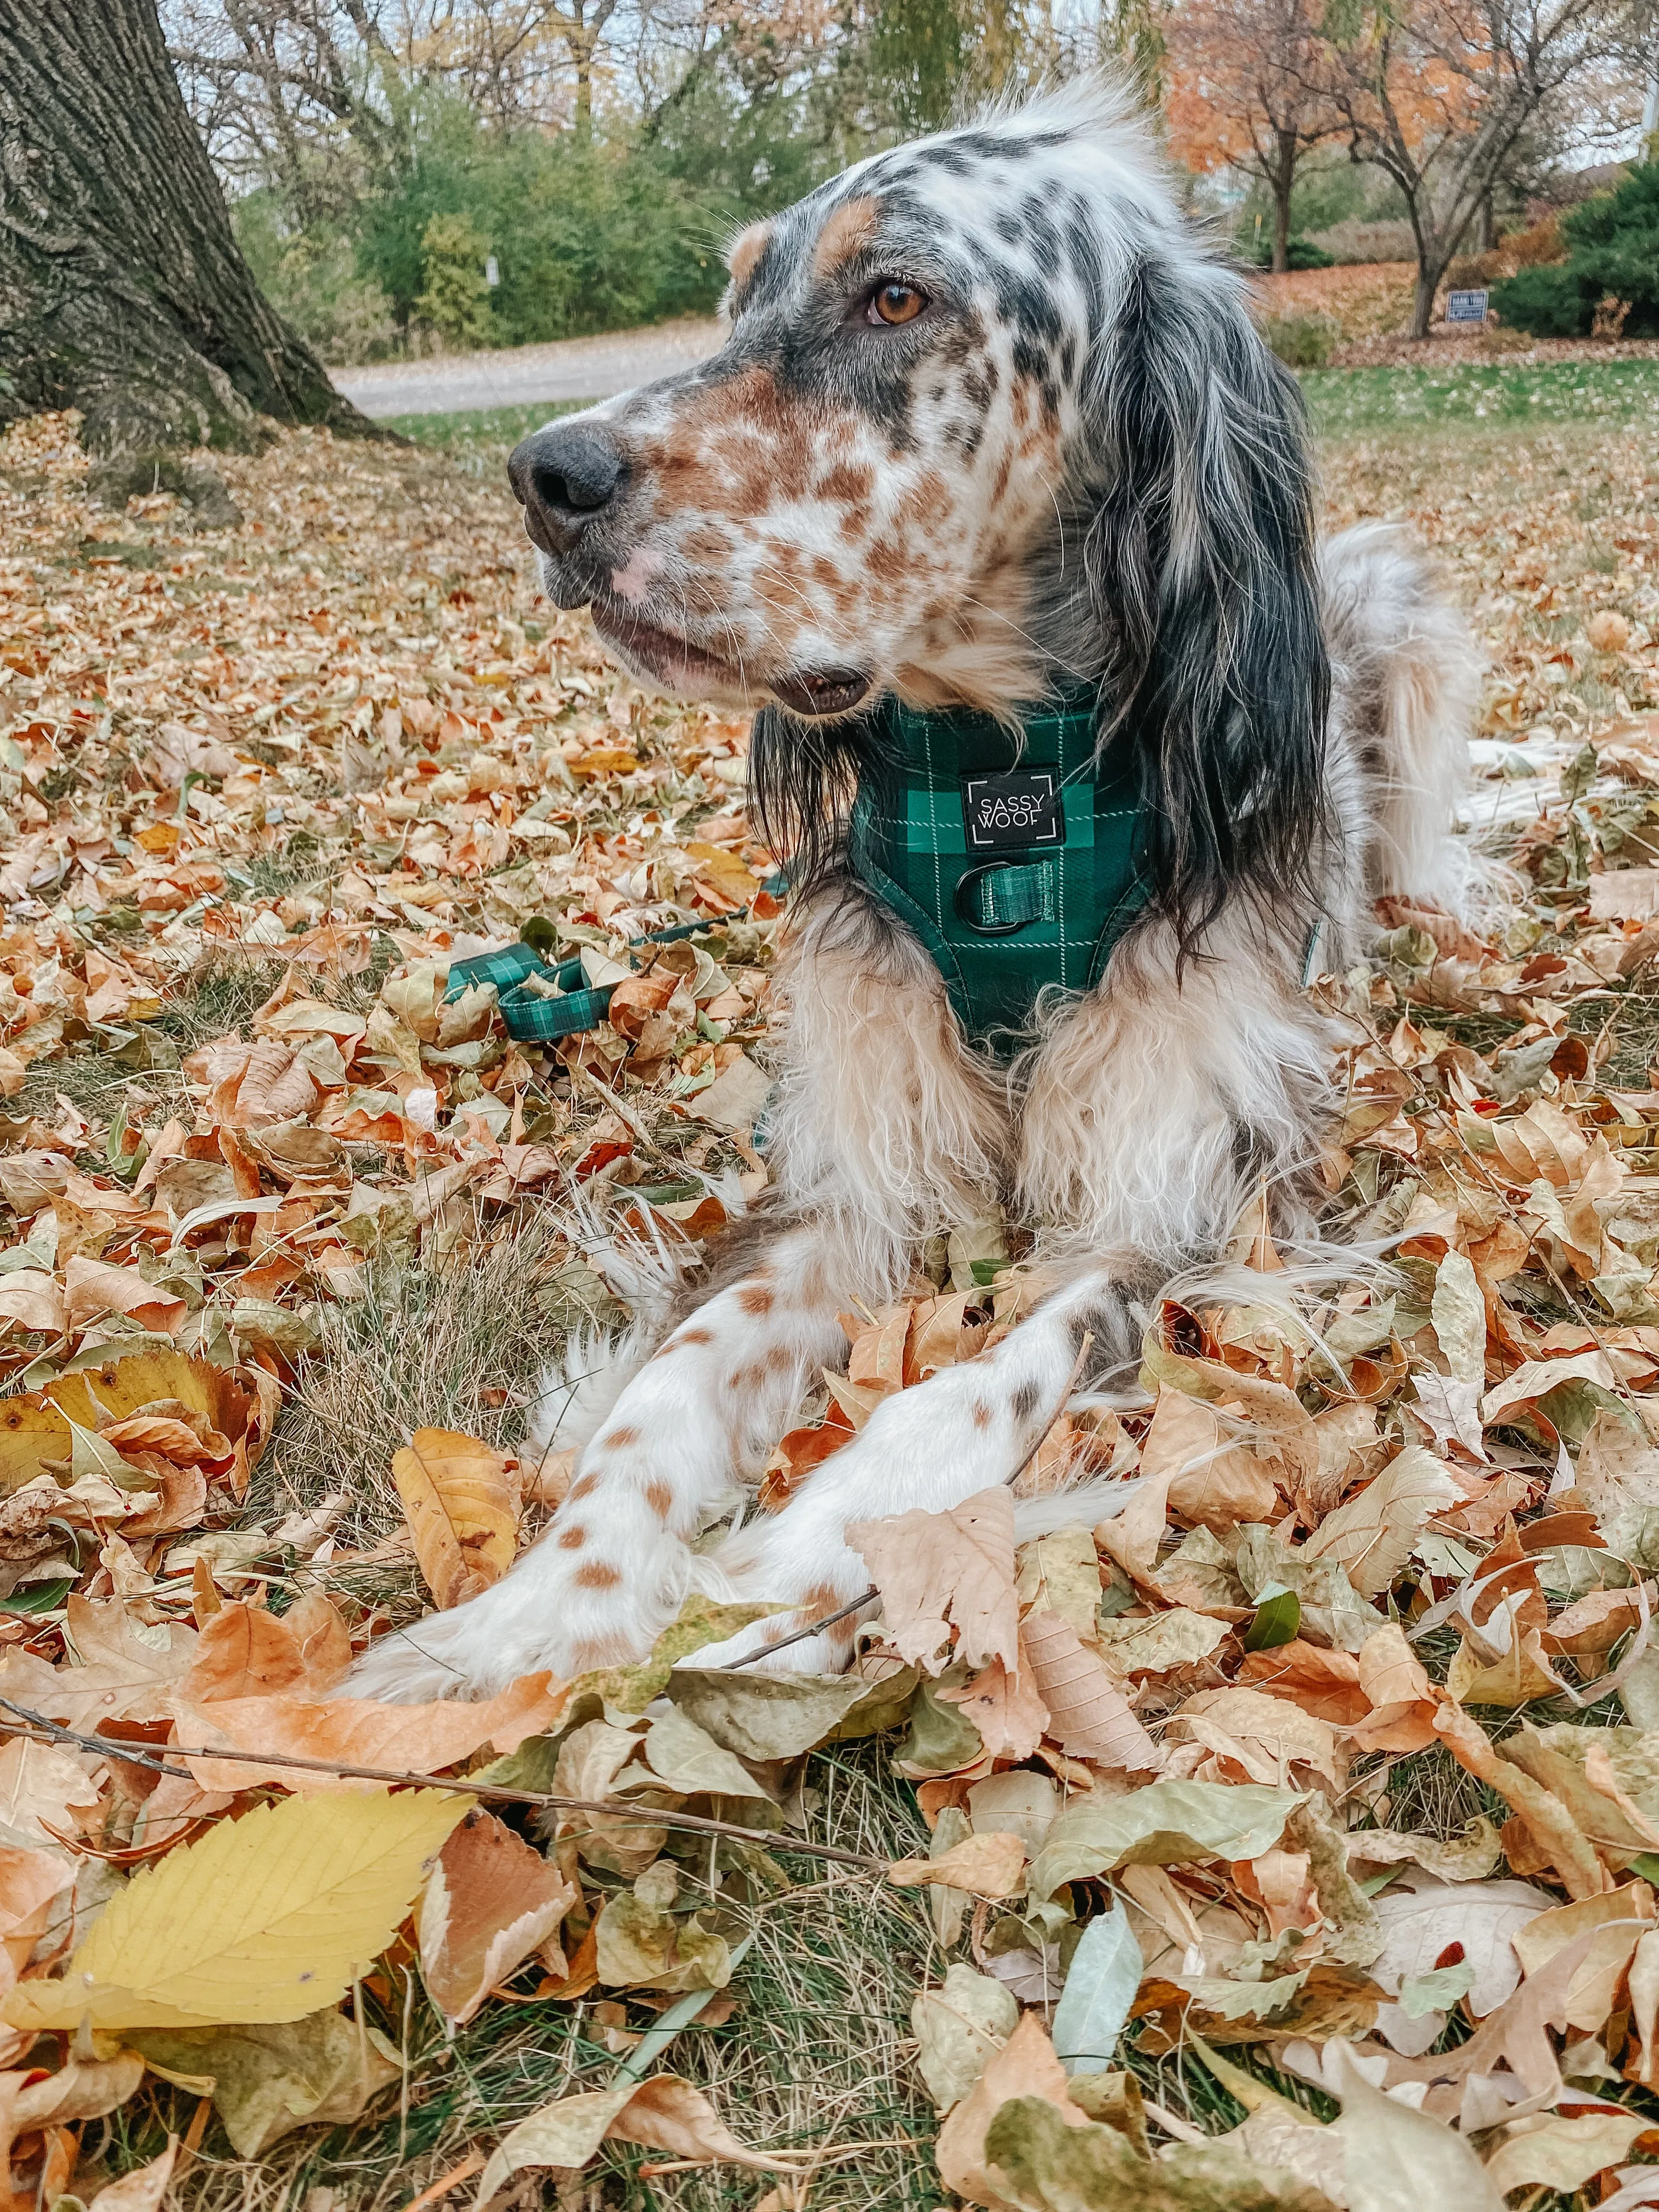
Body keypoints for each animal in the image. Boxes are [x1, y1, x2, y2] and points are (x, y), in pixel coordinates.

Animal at [358, 69, 1477, 1690]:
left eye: (896, 297)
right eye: (738, 292)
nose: (546, 477)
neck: (1005, 798)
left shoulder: (1191, 1206)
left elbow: (975, 1380)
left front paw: (805, 1565)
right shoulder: (858, 1185)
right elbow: (667, 1391)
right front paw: (525, 1625)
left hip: (1402, 611)